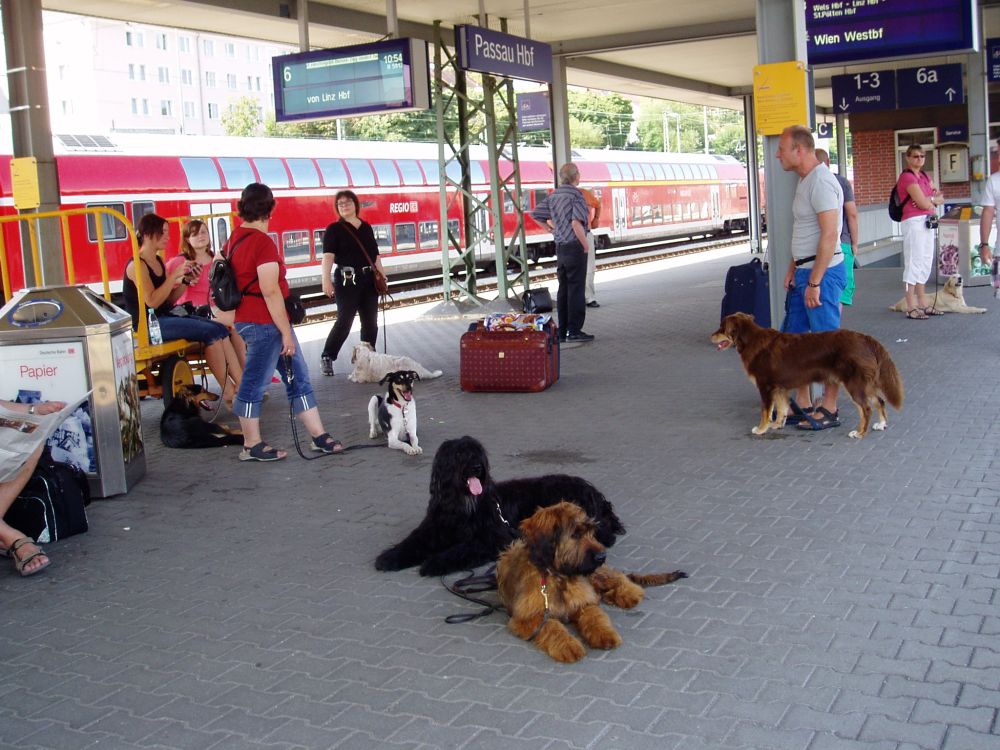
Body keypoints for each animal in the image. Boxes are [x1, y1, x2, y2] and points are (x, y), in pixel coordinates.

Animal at [374, 436, 626, 576]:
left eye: (477, 452)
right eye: (459, 454)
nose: (477, 467)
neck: (463, 504)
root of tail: (594, 493)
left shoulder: (493, 537)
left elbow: (462, 549)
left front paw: (434, 563)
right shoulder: (434, 529)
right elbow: (413, 542)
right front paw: (389, 558)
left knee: (605, 534)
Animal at [498, 502, 687, 663]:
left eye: (591, 532)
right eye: (575, 534)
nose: (602, 556)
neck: (559, 577)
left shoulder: (584, 603)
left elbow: (594, 616)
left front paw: (605, 634)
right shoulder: (528, 618)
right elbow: (552, 626)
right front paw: (568, 645)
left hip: (596, 575)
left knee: (624, 580)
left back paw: (626, 594)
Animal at [710, 313, 904, 439]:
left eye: (721, 328)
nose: (710, 336)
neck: (751, 340)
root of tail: (865, 338)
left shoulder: (766, 386)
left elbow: (766, 411)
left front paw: (761, 429)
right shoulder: (779, 387)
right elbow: (781, 408)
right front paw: (777, 425)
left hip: (855, 384)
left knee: (866, 408)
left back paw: (860, 432)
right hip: (865, 383)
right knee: (880, 401)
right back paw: (881, 424)